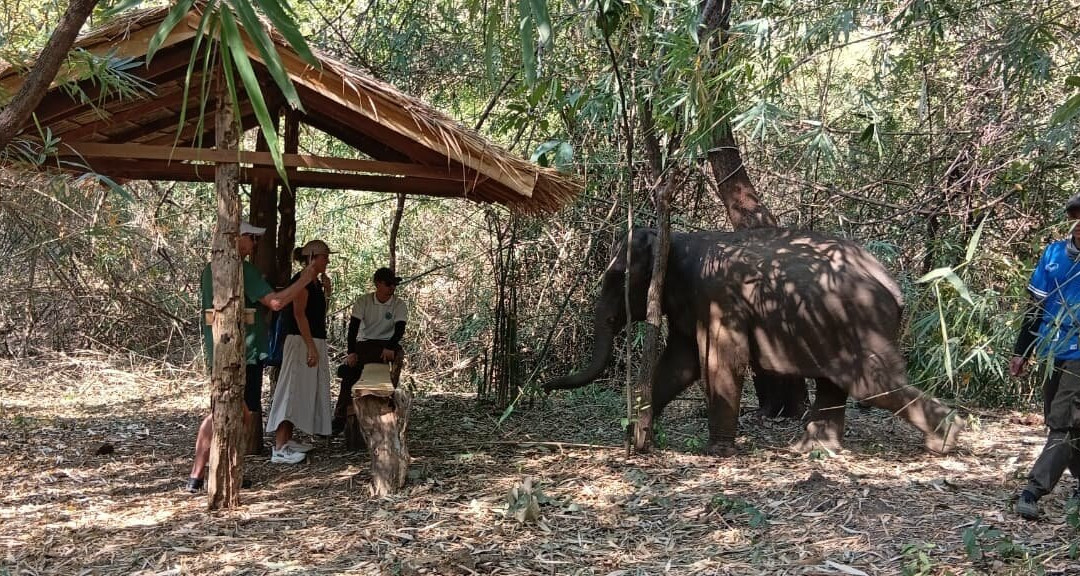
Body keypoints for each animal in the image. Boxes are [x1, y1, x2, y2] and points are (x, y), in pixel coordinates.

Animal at [545, 227, 964, 456]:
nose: (545, 385)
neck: (676, 238)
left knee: (870, 384)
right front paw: (636, 431)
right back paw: (812, 449)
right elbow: (680, 365)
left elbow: (721, 359)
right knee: (836, 382)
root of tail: (893, 285)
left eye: (617, 278)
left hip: (859, 323)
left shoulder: (717, 297)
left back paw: (945, 440)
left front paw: (717, 452)